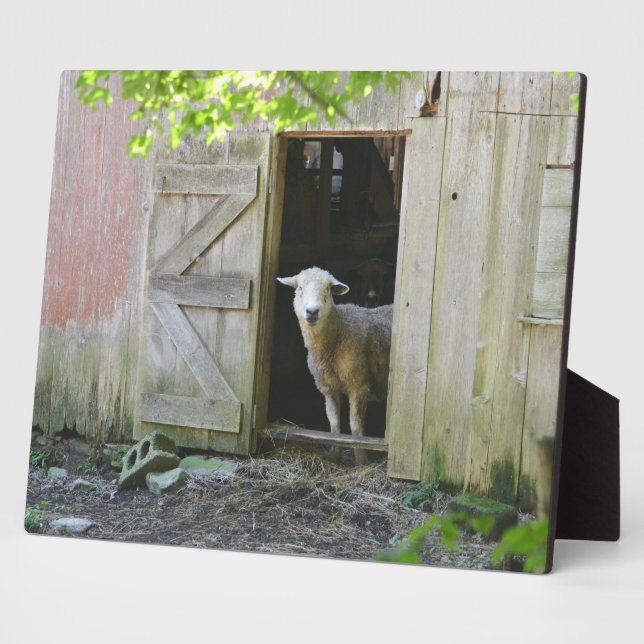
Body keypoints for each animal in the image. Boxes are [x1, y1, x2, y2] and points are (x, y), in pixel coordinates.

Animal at [277, 266, 393, 464]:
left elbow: (355, 427)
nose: (312, 311)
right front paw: (334, 456)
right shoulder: (328, 388)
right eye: (299, 287)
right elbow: (334, 425)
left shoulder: (359, 385)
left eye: (328, 289)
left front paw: (361, 461)